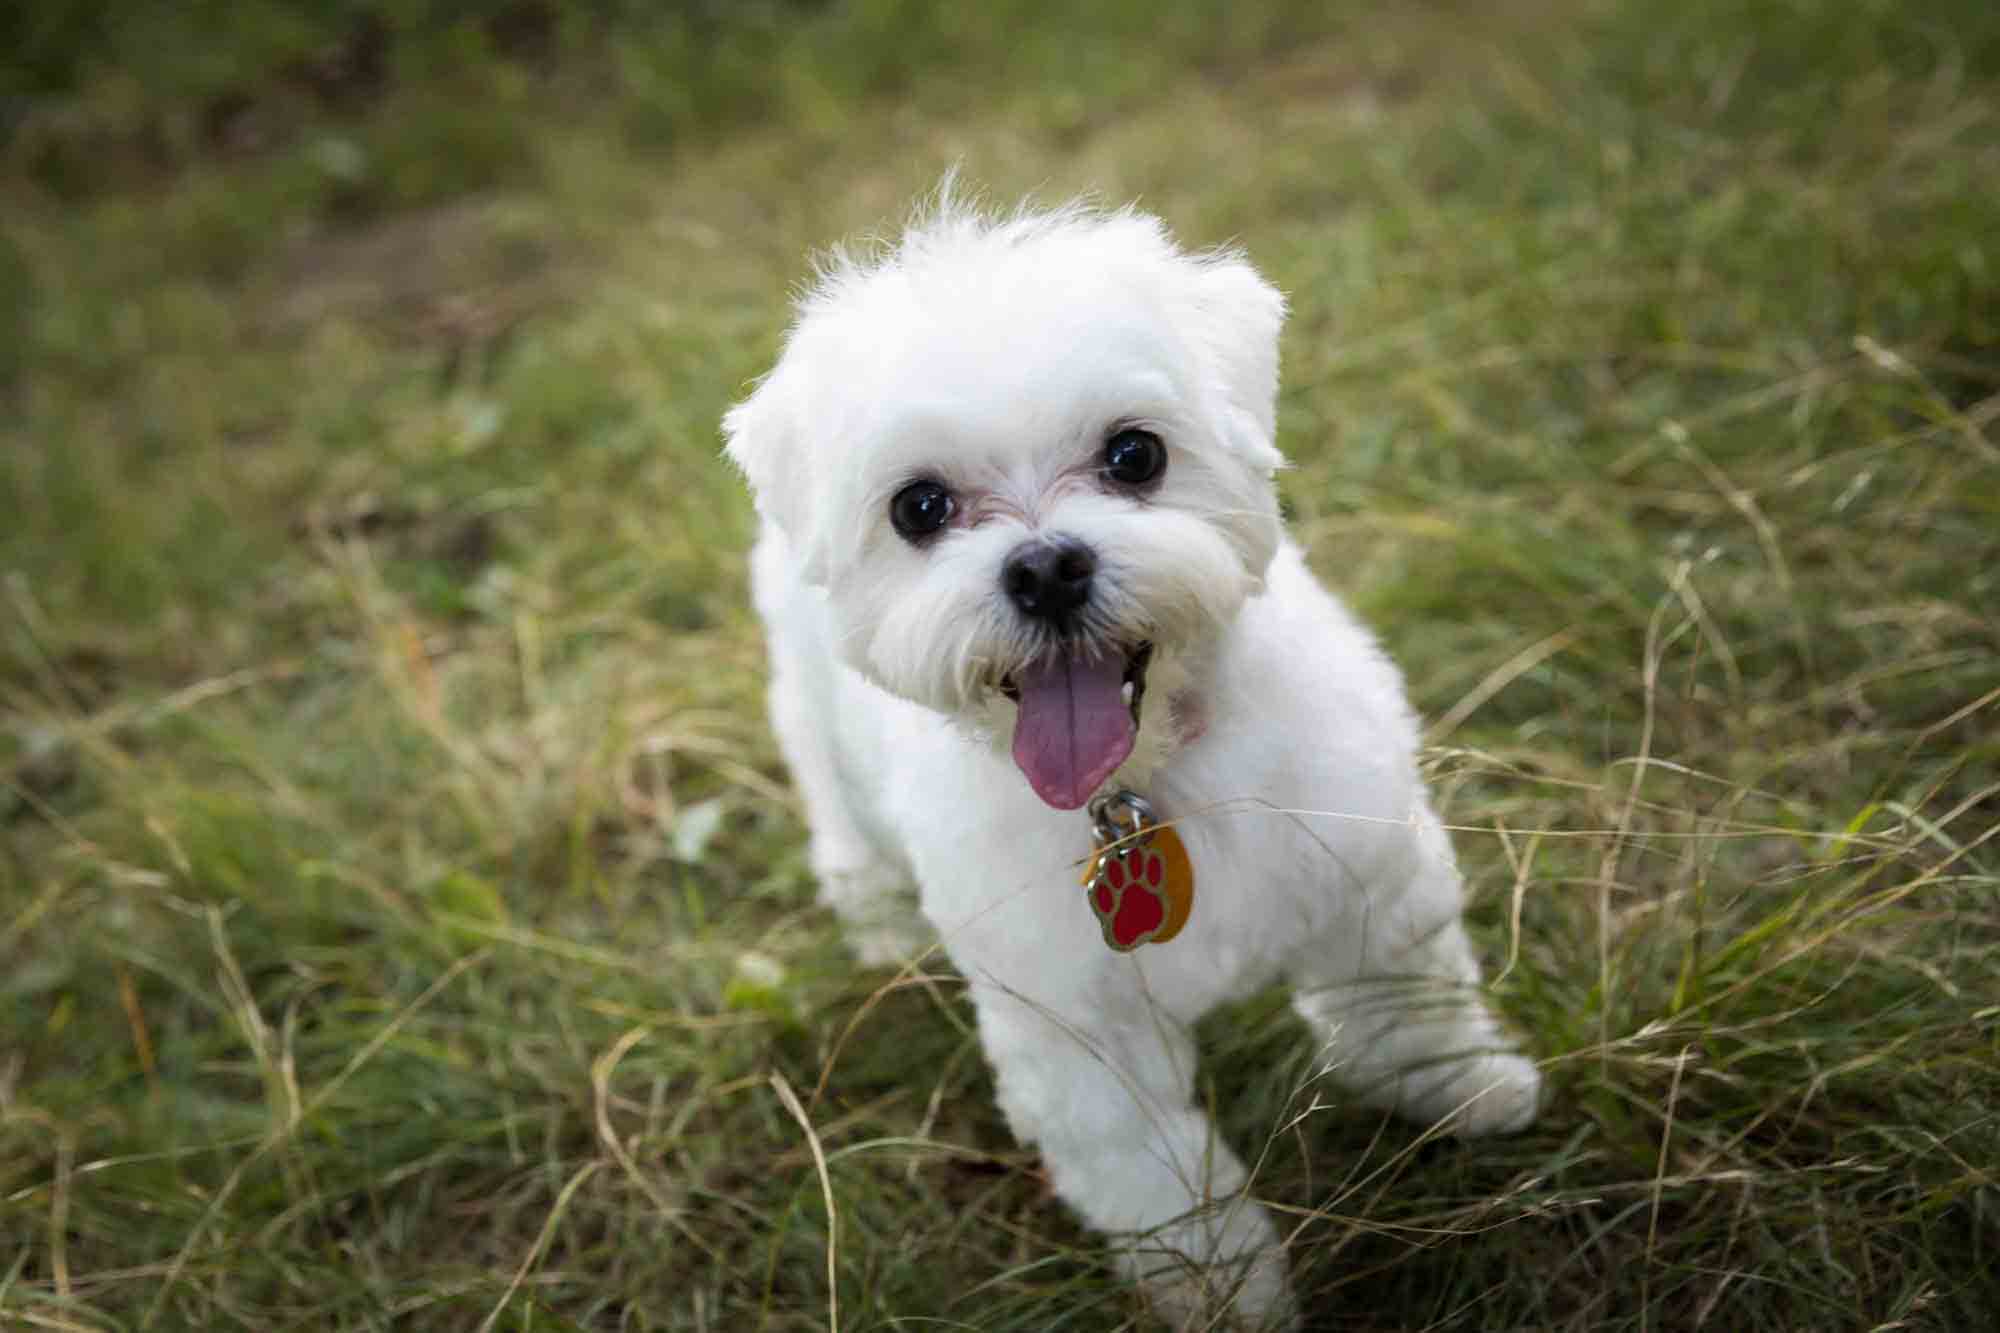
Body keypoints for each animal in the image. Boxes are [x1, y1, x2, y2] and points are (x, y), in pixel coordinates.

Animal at [728, 189, 1536, 1328]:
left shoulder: (1368, 878)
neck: (1142, 788)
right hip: (817, 743)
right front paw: (1226, 1293)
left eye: (1134, 455)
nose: (1045, 567)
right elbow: (1162, 1185)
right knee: (849, 846)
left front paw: (1465, 1085)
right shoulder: (1081, 1039)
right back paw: (880, 934)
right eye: (919, 507)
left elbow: (1405, 1006)